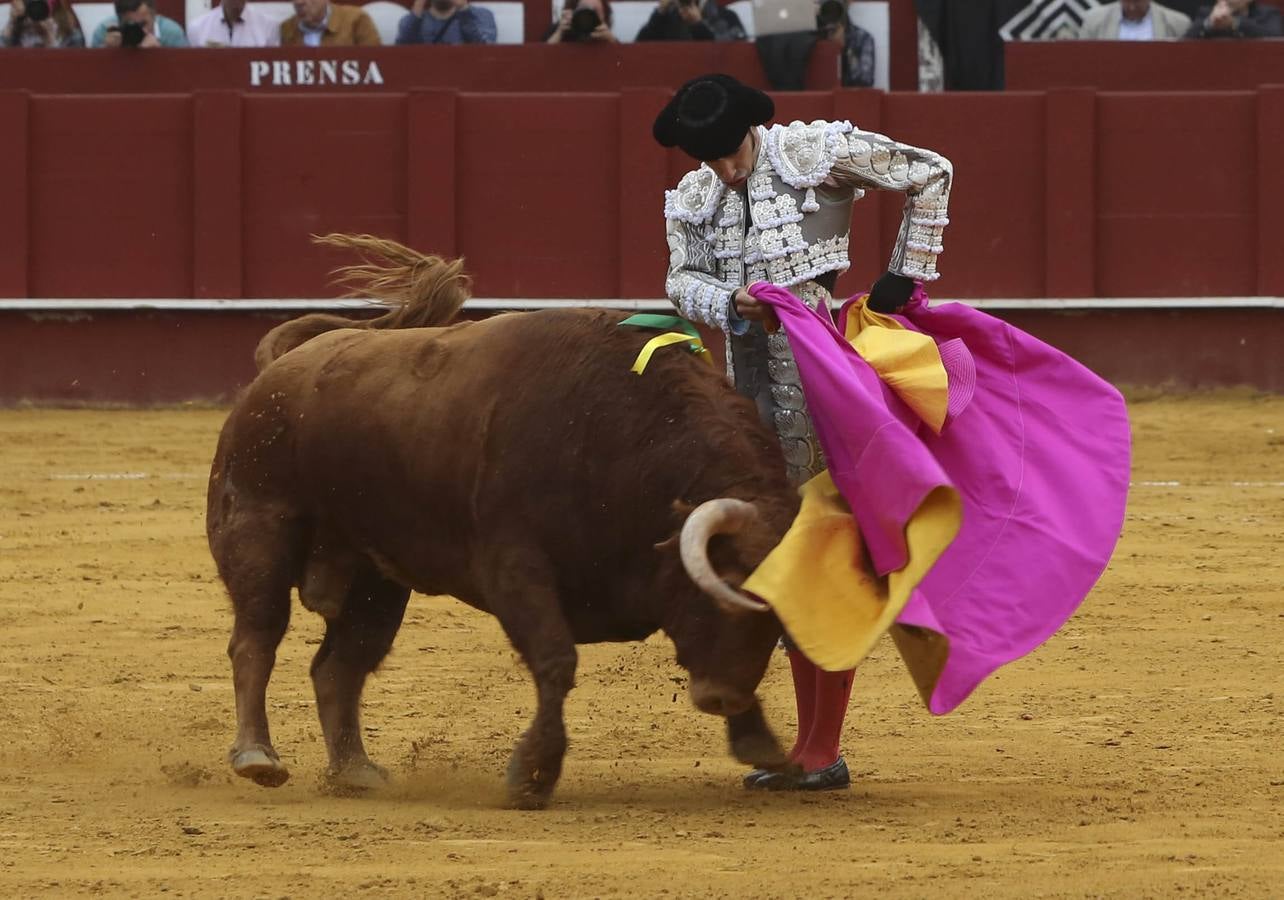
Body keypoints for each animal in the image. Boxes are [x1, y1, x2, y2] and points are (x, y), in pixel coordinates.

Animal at [205, 233, 796, 806]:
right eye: (727, 587)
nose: (723, 697)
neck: (624, 443)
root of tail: (280, 371)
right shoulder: (514, 567)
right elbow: (555, 660)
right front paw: (532, 775)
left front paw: (759, 743)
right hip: (259, 530)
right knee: (256, 639)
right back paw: (257, 756)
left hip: (376, 581)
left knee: (339, 666)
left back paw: (355, 771)